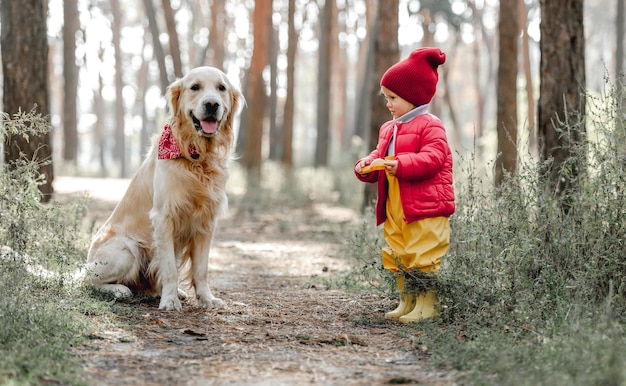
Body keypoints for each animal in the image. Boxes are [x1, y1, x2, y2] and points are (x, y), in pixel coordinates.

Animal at [86, 67, 243, 310]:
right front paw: (169, 301)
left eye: (221, 88)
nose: (212, 104)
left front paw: (206, 299)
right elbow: (169, 268)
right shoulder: (163, 217)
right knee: (88, 281)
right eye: (195, 87)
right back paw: (120, 290)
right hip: (127, 249)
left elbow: (202, 269)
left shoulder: (206, 221)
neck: (196, 155)